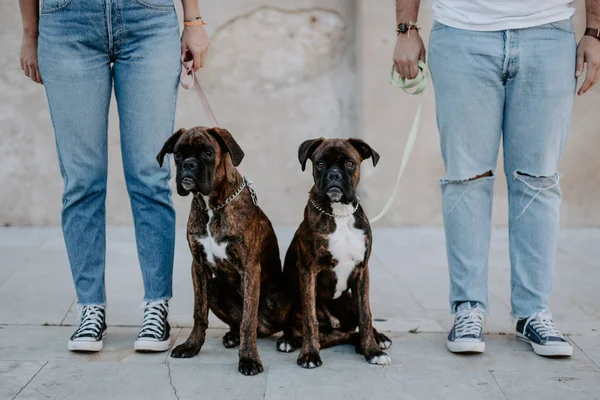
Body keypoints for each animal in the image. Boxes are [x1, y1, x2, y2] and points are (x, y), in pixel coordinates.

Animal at [157, 126, 288, 376]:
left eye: (207, 153)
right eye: (178, 154)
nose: (188, 164)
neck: (212, 206)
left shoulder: (249, 269)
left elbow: (248, 320)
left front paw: (248, 359)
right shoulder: (198, 267)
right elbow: (199, 313)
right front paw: (191, 346)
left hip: (281, 295)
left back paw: (290, 340)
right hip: (215, 288)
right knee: (238, 322)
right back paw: (232, 336)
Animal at [278, 138, 394, 368]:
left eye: (349, 164)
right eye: (320, 164)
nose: (334, 175)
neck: (339, 214)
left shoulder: (362, 271)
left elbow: (366, 314)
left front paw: (372, 351)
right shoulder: (308, 271)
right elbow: (310, 319)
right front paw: (309, 354)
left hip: (348, 300)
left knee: (354, 325)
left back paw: (377, 338)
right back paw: (288, 339)